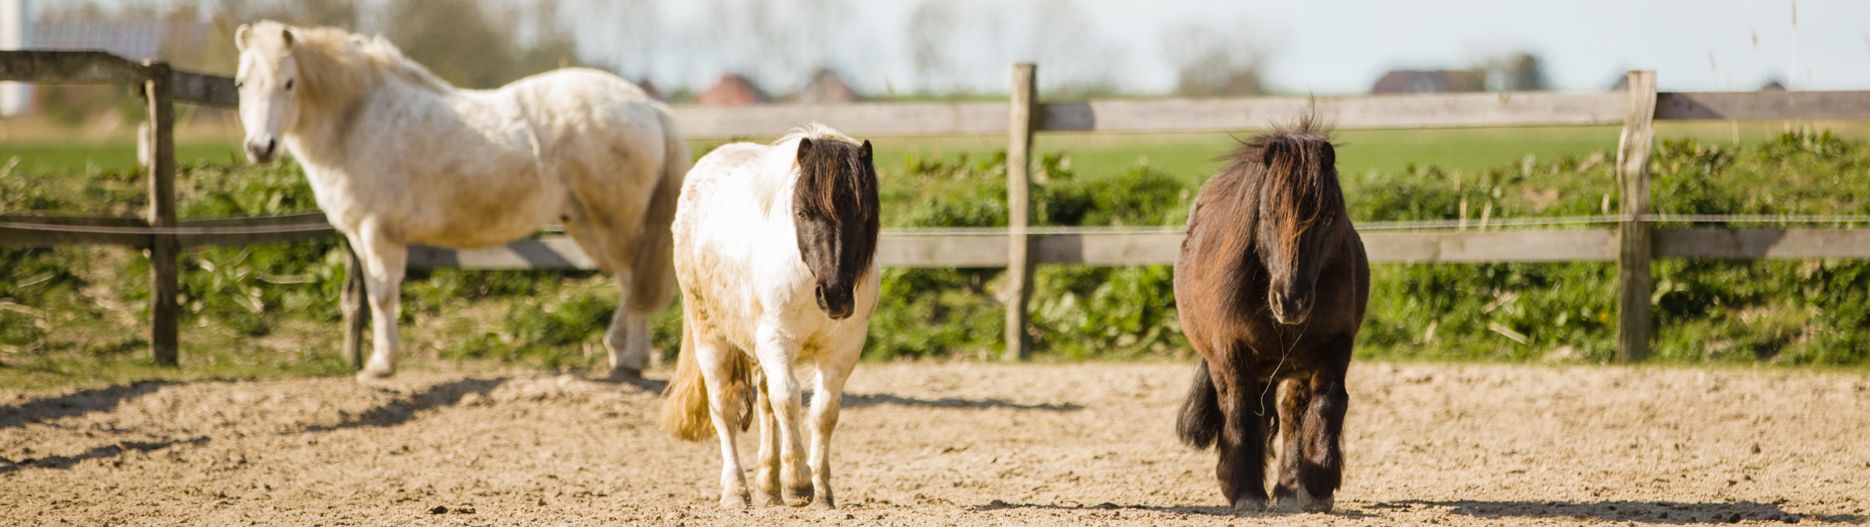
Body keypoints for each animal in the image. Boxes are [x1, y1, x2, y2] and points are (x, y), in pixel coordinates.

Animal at [231, 20, 688, 377]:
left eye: (288, 82)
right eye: (241, 83)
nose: (259, 148)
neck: (360, 118)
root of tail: (648, 106)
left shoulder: (378, 231)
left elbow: (383, 294)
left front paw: (382, 364)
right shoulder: (359, 235)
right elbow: (377, 293)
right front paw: (381, 360)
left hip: (616, 222)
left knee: (634, 280)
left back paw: (629, 357)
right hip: (587, 223)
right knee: (630, 281)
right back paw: (626, 354)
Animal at [661, 125, 878, 508]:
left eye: (862, 216)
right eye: (803, 212)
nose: (835, 296)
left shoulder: (843, 349)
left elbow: (824, 412)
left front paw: (822, 492)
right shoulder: (776, 341)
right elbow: (788, 399)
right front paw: (798, 484)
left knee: (764, 402)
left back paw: (767, 486)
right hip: (710, 336)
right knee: (724, 408)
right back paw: (736, 491)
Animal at [1174, 116, 1368, 515]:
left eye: (1325, 217)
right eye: (1267, 214)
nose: (1290, 300)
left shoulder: (1334, 349)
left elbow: (1328, 404)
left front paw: (1318, 483)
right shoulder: (1234, 358)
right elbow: (1241, 417)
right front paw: (1245, 492)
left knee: (1294, 414)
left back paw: (1291, 487)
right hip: (1228, 366)